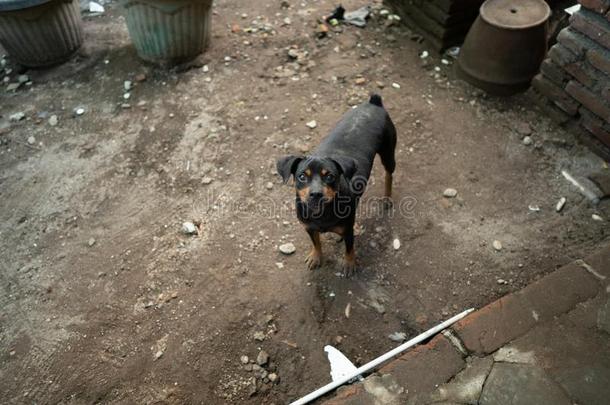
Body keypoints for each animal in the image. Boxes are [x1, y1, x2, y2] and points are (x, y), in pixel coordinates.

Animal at [276, 94, 394, 274]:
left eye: (330, 176)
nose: (316, 194)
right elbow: (316, 242)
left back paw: (387, 198)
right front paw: (316, 256)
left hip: (388, 152)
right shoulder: (308, 227)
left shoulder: (348, 228)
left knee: (389, 174)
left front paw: (349, 263)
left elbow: (349, 248)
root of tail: (374, 103)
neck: (321, 213)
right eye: (302, 176)